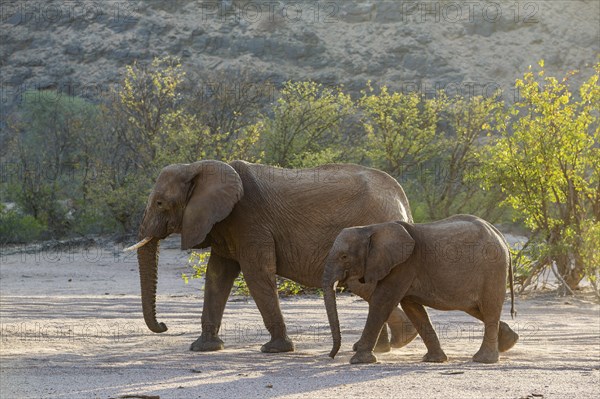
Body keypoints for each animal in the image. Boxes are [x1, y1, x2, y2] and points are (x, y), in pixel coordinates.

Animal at [126, 159, 418, 354]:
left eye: (160, 203)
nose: (163, 325)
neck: (200, 166)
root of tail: (401, 198)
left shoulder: (250, 221)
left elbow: (256, 273)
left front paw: (276, 349)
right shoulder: (224, 224)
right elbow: (217, 276)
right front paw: (203, 348)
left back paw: (399, 340)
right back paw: (388, 346)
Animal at [326, 216, 516, 366]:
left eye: (344, 257)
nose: (331, 356)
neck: (371, 228)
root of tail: (500, 236)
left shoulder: (404, 265)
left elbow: (383, 301)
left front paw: (358, 360)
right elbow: (412, 307)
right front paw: (434, 360)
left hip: (493, 269)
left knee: (489, 308)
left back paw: (483, 360)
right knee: (477, 308)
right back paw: (509, 342)